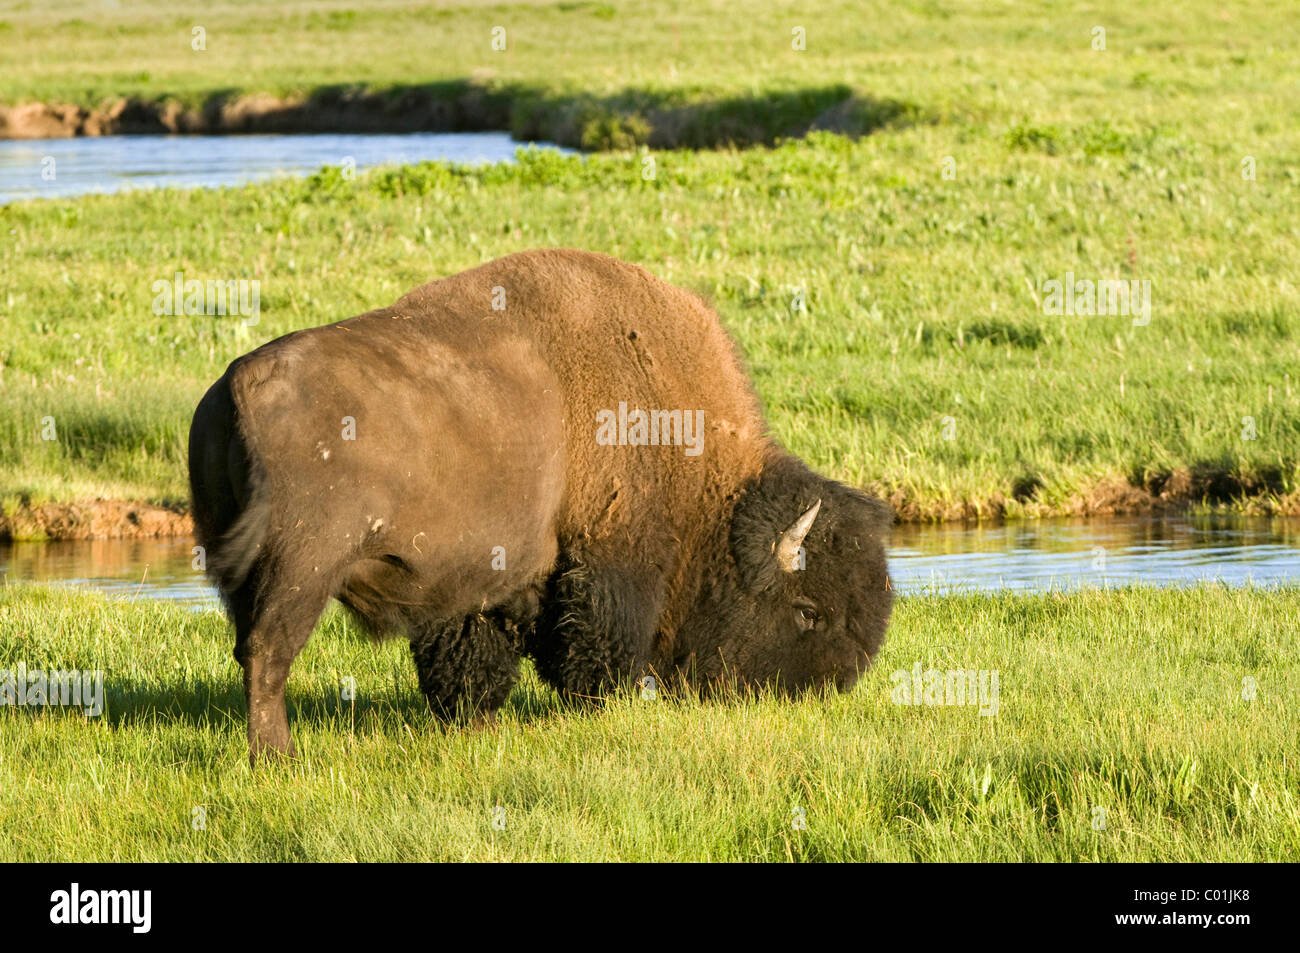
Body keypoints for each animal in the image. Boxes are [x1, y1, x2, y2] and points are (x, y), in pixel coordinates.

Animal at [185, 249, 894, 764]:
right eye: (807, 611)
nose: (817, 695)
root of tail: (240, 382)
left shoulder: (479, 581)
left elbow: (470, 656)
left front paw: (477, 726)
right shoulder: (609, 560)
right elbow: (593, 646)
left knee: (251, 650)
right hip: (302, 570)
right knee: (267, 654)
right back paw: (277, 757)